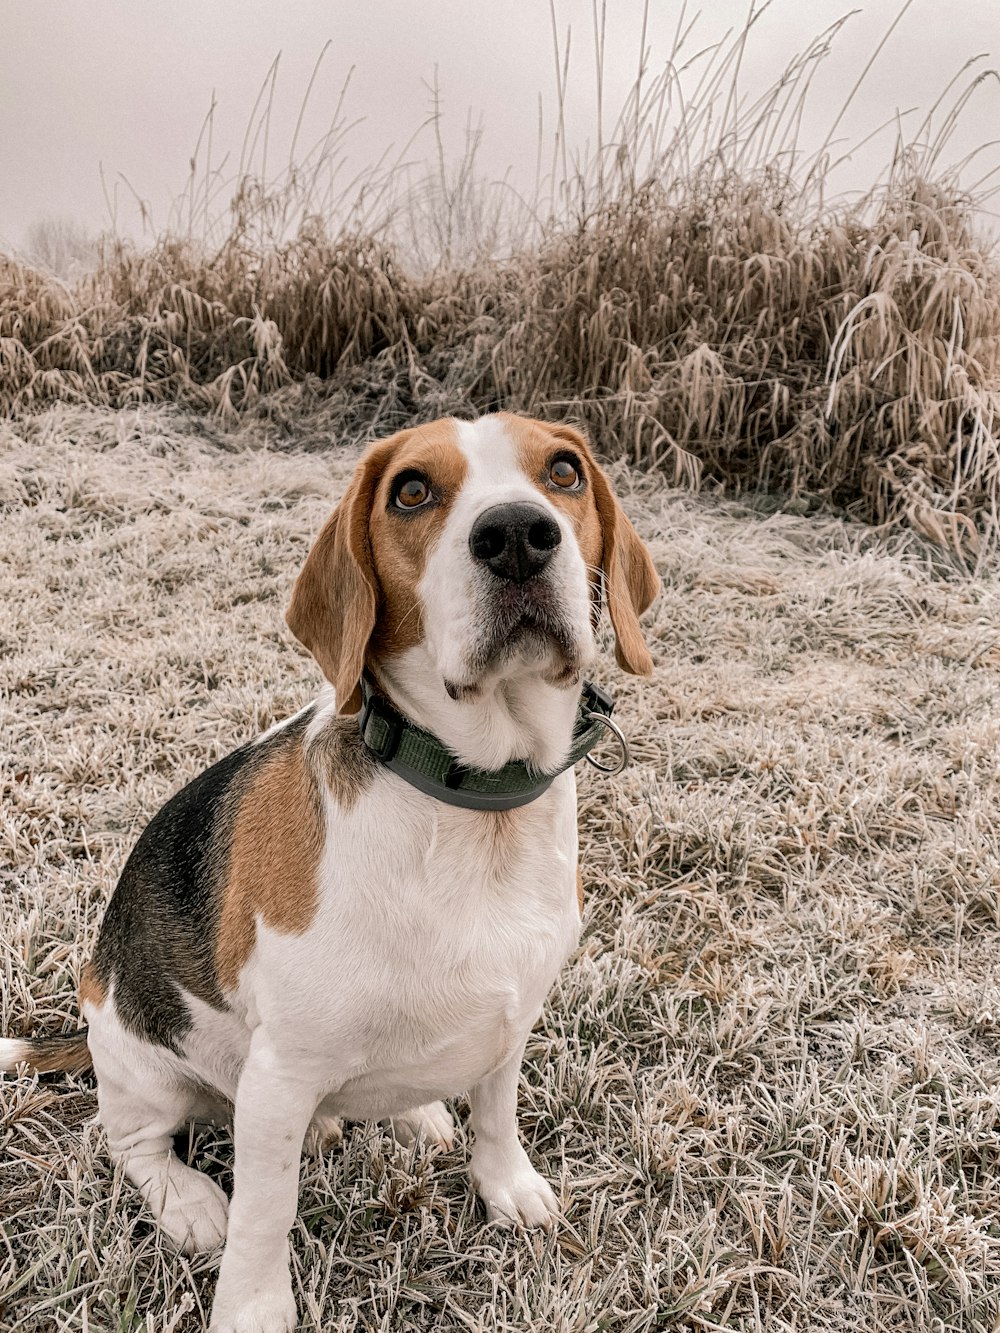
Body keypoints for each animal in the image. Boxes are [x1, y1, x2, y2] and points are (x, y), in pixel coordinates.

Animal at [0, 413, 661, 1333]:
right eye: (411, 490)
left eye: (563, 471)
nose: (518, 535)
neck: (472, 804)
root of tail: (93, 993)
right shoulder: (280, 1076)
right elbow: (265, 1211)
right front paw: (252, 1307)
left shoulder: (514, 1014)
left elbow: (497, 1111)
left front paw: (507, 1187)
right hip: (146, 1065)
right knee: (135, 1142)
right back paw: (189, 1199)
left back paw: (414, 1112)